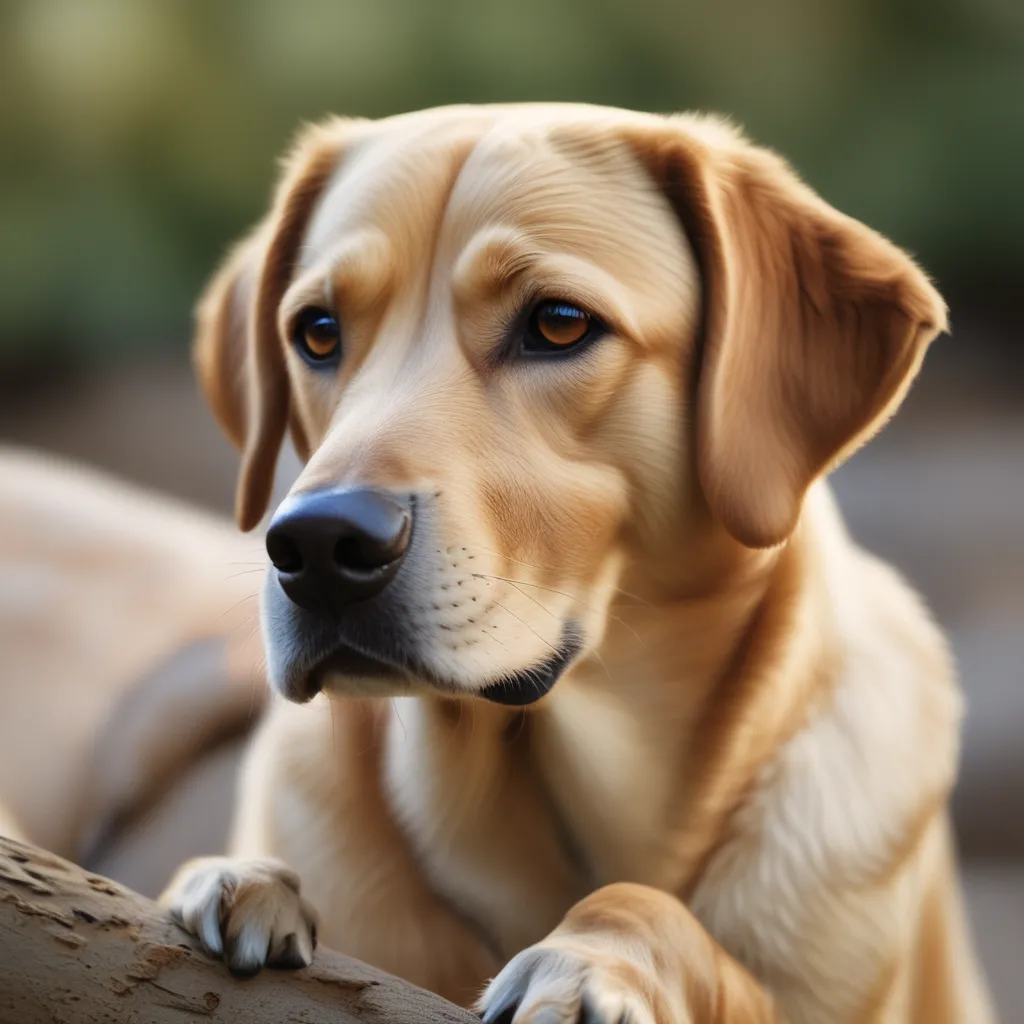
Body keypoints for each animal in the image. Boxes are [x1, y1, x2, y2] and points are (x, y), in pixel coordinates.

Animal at [157, 108, 991, 1019]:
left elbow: (659, 914)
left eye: (558, 323)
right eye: (317, 332)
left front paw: (594, 956)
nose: (317, 546)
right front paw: (241, 881)